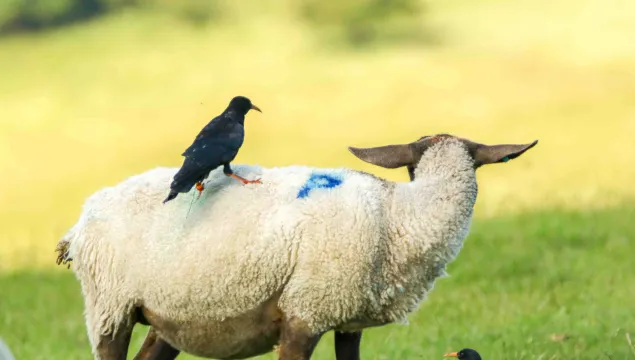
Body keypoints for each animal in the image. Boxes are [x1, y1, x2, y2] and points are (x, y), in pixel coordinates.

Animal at [57, 133, 540, 360]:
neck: (401, 216)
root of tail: (82, 217)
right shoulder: (303, 312)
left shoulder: (348, 320)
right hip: (109, 307)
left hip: (169, 315)